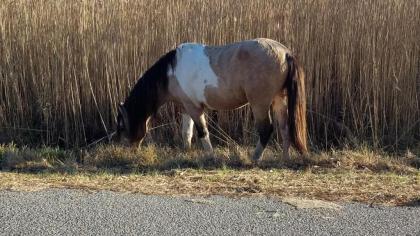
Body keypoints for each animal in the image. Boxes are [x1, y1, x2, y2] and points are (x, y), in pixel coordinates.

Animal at [116, 38, 306, 160]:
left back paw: (255, 159)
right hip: (279, 100)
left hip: (260, 103)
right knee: (285, 128)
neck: (172, 72)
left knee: (266, 130)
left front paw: (210, 156)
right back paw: (284, 159)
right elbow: (187, 132)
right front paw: (186, 154)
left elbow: (202, 132)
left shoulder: (194, 108)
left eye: (122, 126)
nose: (128, 151)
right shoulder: (186, 107)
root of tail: (285, 53)